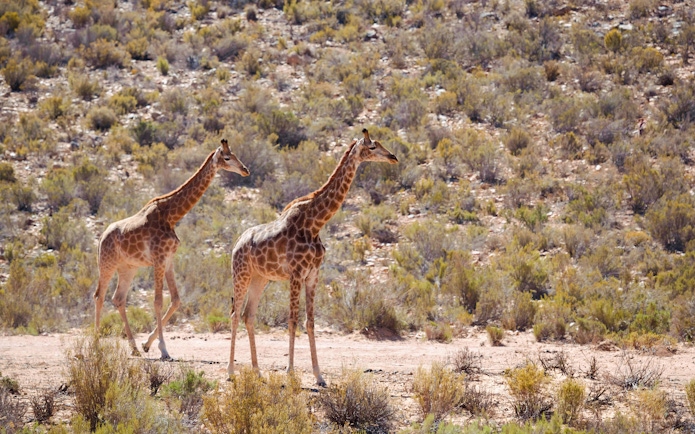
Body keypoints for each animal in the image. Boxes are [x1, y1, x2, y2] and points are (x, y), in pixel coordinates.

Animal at [94, 139, 249, 360]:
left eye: (236, 155)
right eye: (227, 157)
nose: (245, 170)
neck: (172, 216)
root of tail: (101, 238)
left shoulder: (168, 260)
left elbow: (176, 300)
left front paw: (147, 344)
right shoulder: (159, 259)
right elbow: (158, 301)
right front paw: (164, 349)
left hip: (128, 267)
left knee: (118, 299)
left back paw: (133, 347)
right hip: (107, 264)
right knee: (99, 296)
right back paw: (96, 344)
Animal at [229, 129, 398, 386]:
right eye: (372, 148)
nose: (393, 157)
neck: (314, 224)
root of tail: (237, 244)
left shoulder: (313, 275)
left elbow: (310, 322)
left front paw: (319, 375)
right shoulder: (296, 274)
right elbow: (292, 320)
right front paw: (290, 372)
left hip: (261, 278)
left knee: (249, 316)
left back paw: (257, 372)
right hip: (241, 274)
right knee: (235, 314)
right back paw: (230, 371)